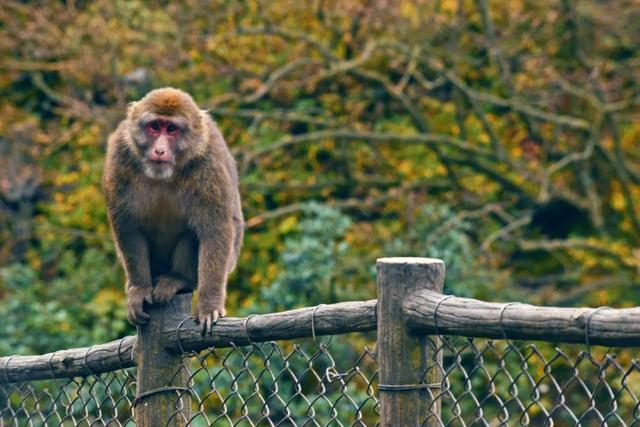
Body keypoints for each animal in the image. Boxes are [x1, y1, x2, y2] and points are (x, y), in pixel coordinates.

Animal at [101, 86, 244, 334]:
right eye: (155, 126)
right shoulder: (120, 154)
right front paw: (140, 289)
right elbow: (126, 225)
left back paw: (179, 279)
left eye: (172, 130)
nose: (159, 150)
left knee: (194, 233)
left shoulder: (208, 162)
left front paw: (209, 305)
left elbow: (215, 229)